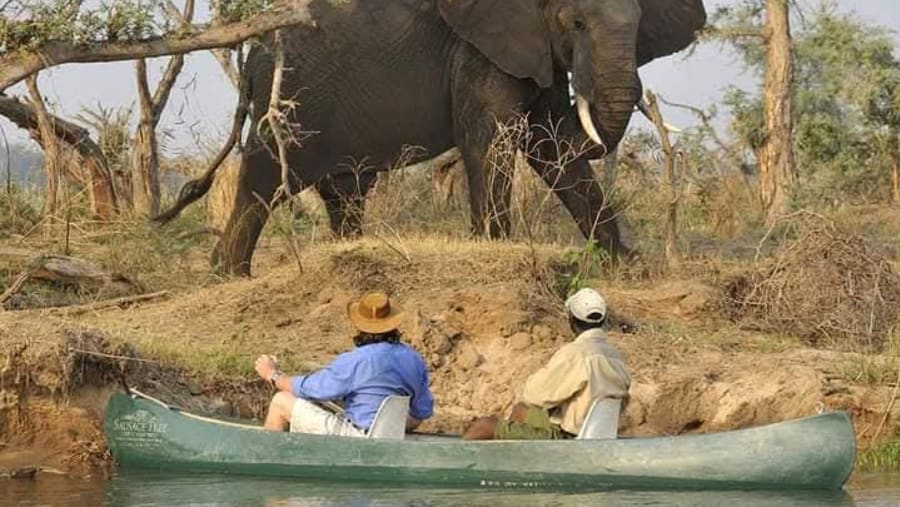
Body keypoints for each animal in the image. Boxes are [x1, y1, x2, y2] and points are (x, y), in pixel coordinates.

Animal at [211, 0, 707, 275]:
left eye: (639, 25)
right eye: (577, 24)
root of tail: (252, 54)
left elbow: (549, 145)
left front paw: (625, 264)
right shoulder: (482, 50)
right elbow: (493, 137)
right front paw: (494, 246)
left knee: (345, 192)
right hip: (295, 99)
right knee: (266, 180)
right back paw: (230, 276)